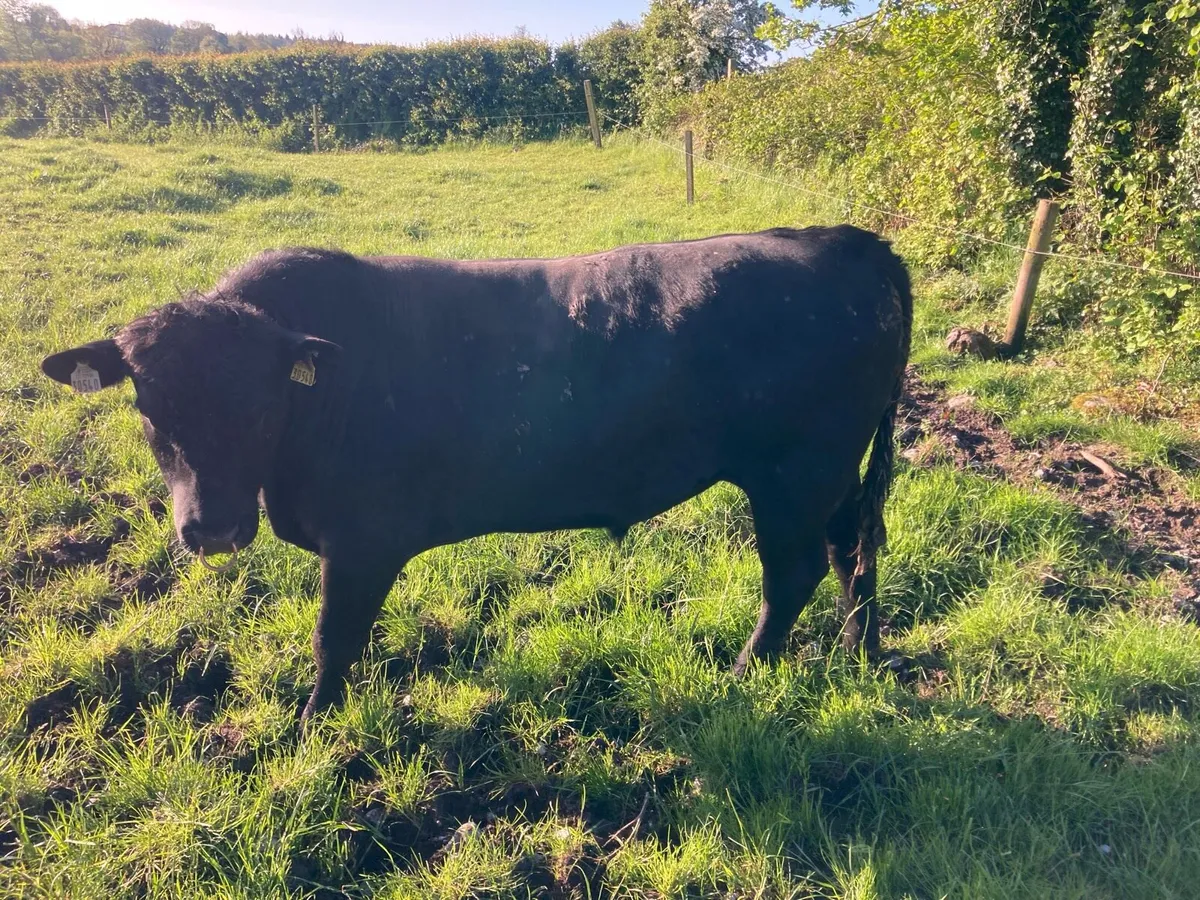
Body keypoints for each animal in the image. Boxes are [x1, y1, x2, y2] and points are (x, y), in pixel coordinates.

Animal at [41, 225, 912, 726]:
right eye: (149, 403)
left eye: (261, 401)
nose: (211, 528)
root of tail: (843, 239)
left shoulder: (362, 540)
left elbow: (333, 638)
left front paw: (314, 726)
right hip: (832, 476)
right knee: (854, 552)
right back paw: (858, 649)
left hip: (795, 473)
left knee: (796, 572)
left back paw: (744, 672)